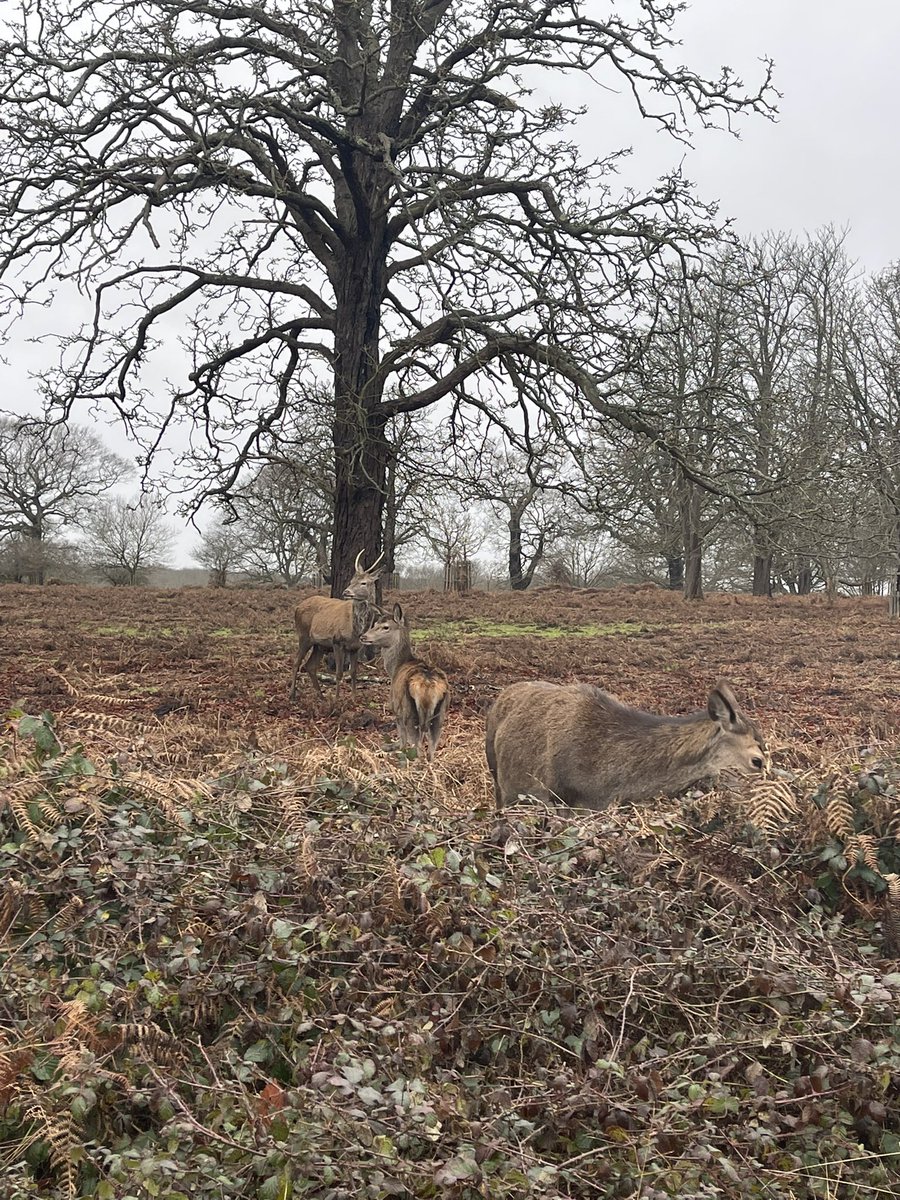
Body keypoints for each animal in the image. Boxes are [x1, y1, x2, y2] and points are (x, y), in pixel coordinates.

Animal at [288, 550, 385, 702]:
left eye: (363, 582)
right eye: (351, 581)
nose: (346, 592)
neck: (356, 629)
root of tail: (297, 607)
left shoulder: (355, 647)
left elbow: (353, 672)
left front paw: (354, 699)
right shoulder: (337, 641)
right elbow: (339, 673)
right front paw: (336, 700)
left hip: (319, 644)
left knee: (310, 666)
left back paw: (321, 696)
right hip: (303, 635)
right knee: (296, 662)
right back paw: (292, 695)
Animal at [360, 603, 450, 761]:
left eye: (386, 627)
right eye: (374, 624)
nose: (363, 636)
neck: (395, 668)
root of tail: (428, 684)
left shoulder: (396, 709)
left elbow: (402, 740)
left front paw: (391, 748)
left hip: (409, 712)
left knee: (417, 749)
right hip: (440, 714)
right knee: (431, 750)